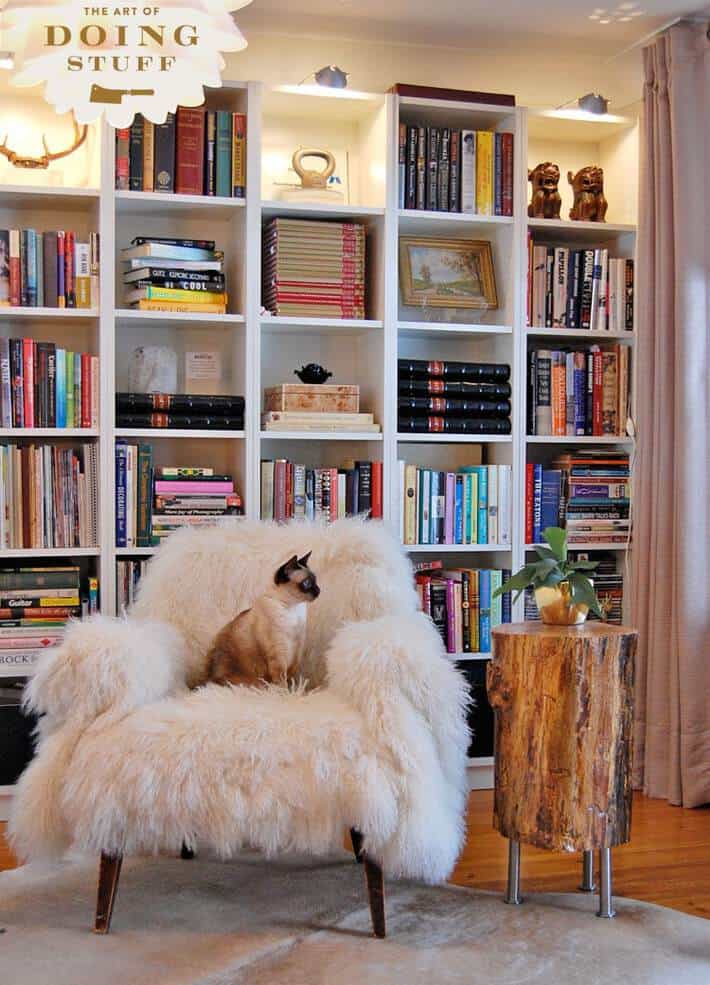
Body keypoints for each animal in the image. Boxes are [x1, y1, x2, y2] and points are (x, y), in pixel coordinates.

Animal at [202, 548, 322, 688]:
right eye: (307, 583)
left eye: (315, 581)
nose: (319, 590)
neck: (293, 609)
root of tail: (206, 679)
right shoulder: (279, 655)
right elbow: (282, 681)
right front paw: (286, 693)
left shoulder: (297, 652)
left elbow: (292, 679)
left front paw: (297, 690)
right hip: (252, 680)